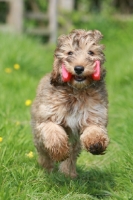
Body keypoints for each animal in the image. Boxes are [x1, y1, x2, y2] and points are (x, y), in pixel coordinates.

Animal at [31, 28, 109, 177]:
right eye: (69, 53)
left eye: (91, 53)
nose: (78, 68)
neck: (76, 91)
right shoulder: (47, 117)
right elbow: (54, 132)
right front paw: (59, 152)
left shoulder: (94, 114)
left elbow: (94, 129)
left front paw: (96, 143)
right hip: (37, 132)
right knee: (43, 151)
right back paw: (47, 167)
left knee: (73, 153)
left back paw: (68, 173)